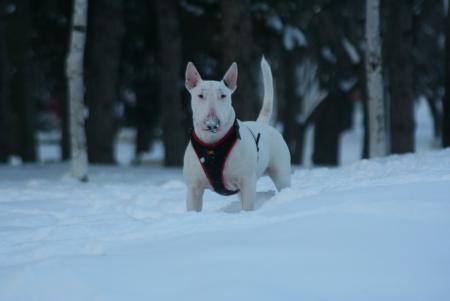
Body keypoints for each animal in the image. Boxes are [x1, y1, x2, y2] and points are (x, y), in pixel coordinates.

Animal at [183, 56, 292, 211]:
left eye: (223, 95)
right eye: (200, 95)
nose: (212, 123)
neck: (213, 144)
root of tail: (262, 124)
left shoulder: (247, 182)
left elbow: (248, 206)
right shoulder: (194, 188)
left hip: (281, 172)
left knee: (284, 185)